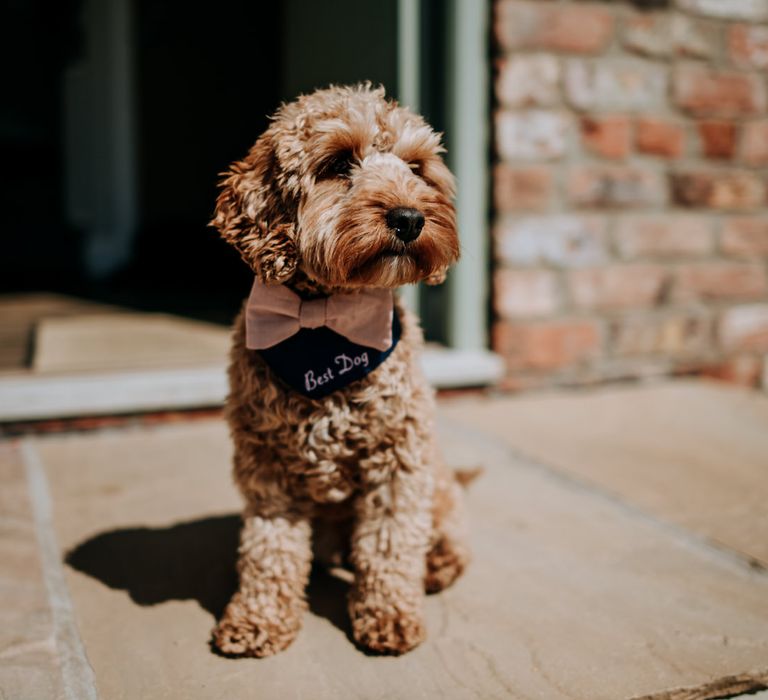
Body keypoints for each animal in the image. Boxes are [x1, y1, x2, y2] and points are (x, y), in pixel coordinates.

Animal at [210, 83, 472, 656]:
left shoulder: (398, 461)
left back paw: (437, 565)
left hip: (436, 478)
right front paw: (257, 619)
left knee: (446, 532)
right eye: (335, 164)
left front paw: (390, 616)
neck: (325, 323)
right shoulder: (266, 466)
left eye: (416, 168)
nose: (409, 218)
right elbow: (269, 548)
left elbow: (391, 544)